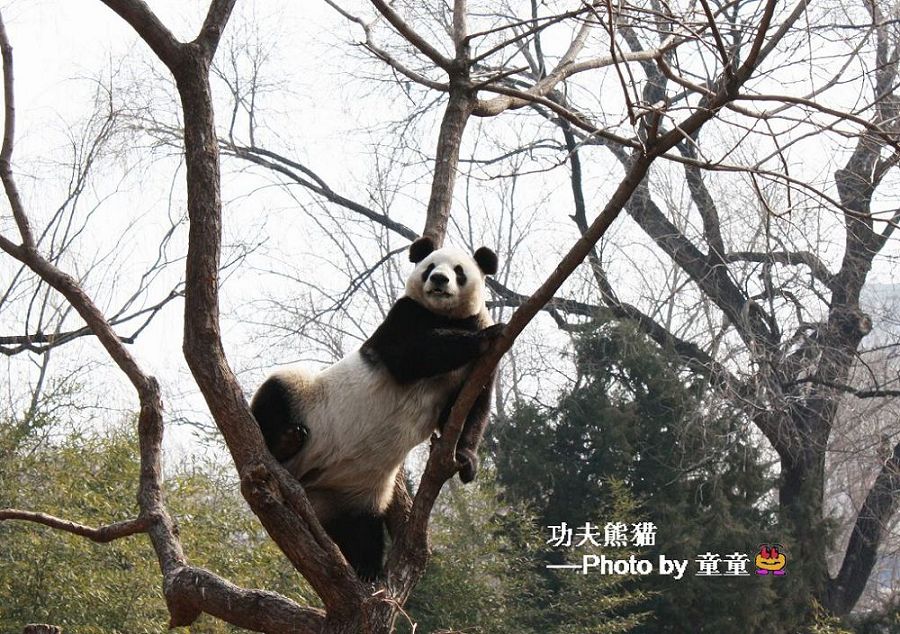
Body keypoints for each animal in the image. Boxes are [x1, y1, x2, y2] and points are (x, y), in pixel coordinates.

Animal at [251, 236, 500, 576]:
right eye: (431, 266)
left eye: (459, 271)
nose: (439, 280)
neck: (446, 316)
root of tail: (302, 475)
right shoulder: (404, 314)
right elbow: (405, 354)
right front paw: (483, 336)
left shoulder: (479, 369)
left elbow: (472, 408)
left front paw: (466, 460)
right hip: (308, 397)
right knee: (278, 391)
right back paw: (283, 441)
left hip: (351, 491)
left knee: (359, 528)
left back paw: (367, 569)